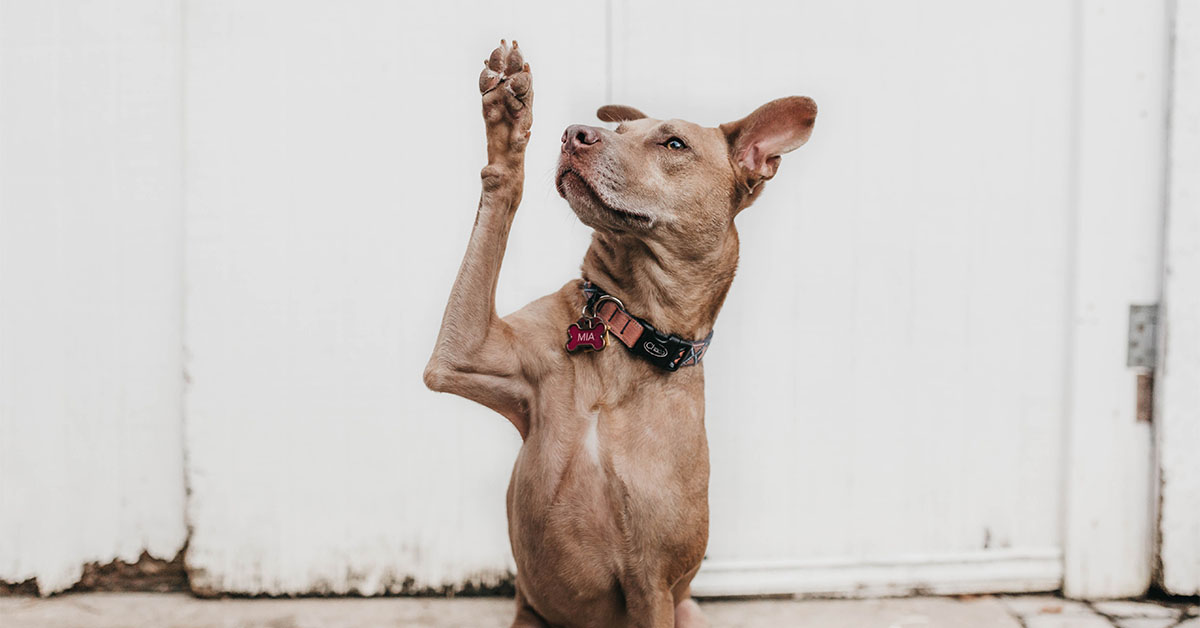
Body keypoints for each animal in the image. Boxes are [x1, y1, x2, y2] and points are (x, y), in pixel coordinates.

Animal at [424, 41, 816, 624]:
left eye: (673, 143)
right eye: (619, 130)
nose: (573, 133)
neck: (627, 331)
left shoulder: (653, 584)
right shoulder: (461, 353)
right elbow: (499, 195)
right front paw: (509, 121)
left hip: (685, 608)